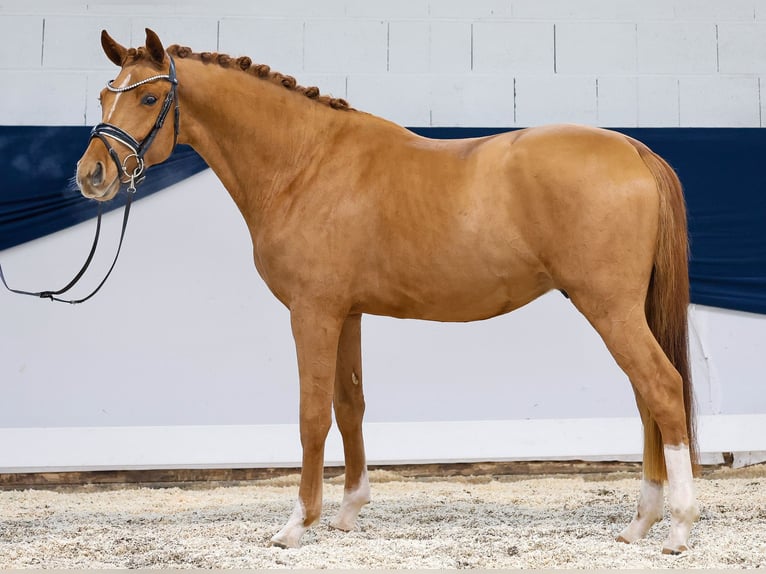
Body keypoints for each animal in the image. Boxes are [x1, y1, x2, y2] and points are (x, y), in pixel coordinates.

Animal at [78, 30, 704, 552]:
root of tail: (633, 150)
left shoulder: (313, 312)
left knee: (662, 388)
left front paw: (296, 524)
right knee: (647, 399)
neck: (305, 163)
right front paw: (348, 512)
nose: (92, 176)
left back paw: (676, 527)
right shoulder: (348, 314)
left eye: (149, 100)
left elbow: (312, 415)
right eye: (105, 95)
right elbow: (349, 406)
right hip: (621, 311)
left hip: (611, 309)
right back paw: (640, 524)